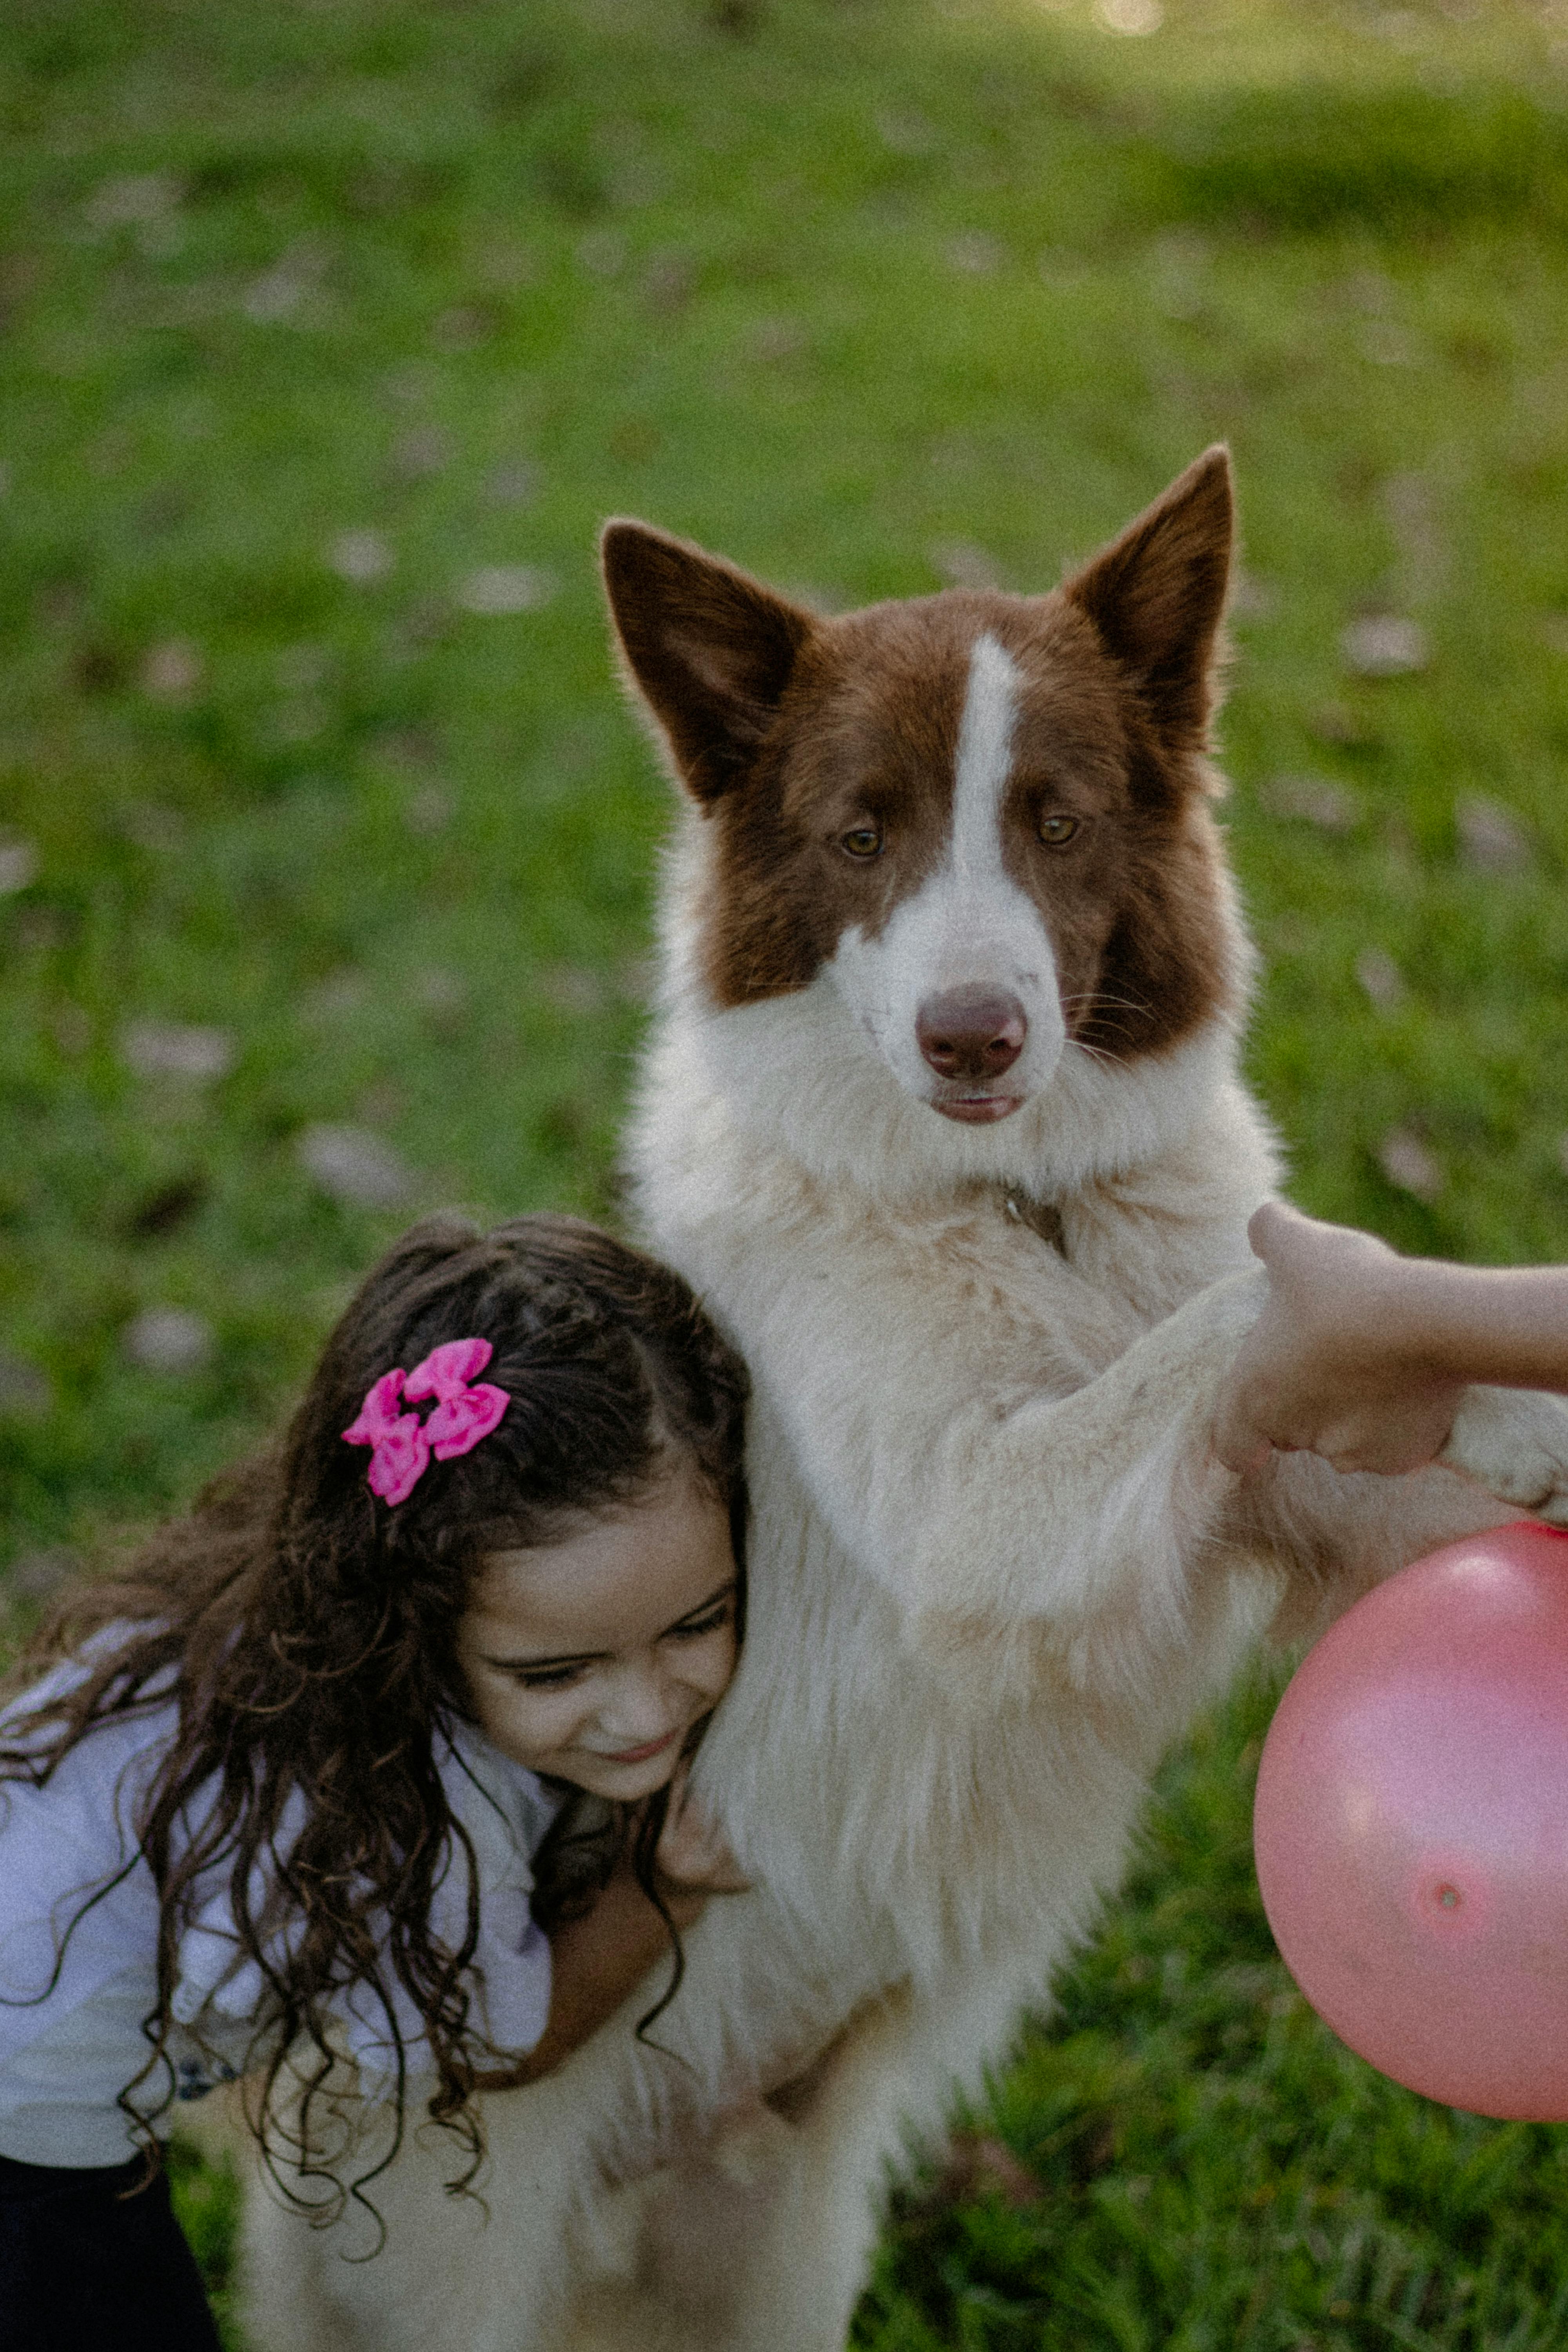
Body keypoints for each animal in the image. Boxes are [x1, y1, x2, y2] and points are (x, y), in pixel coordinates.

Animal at [242, 454, 1568, 2352]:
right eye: (861, 835)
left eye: (1056, 824)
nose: (970, 1037)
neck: (1023, 1204)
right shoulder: (979, 1520)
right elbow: (1241, 1308)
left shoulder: (1270, 1489)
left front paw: (1510, 1408)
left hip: (778, 2256)